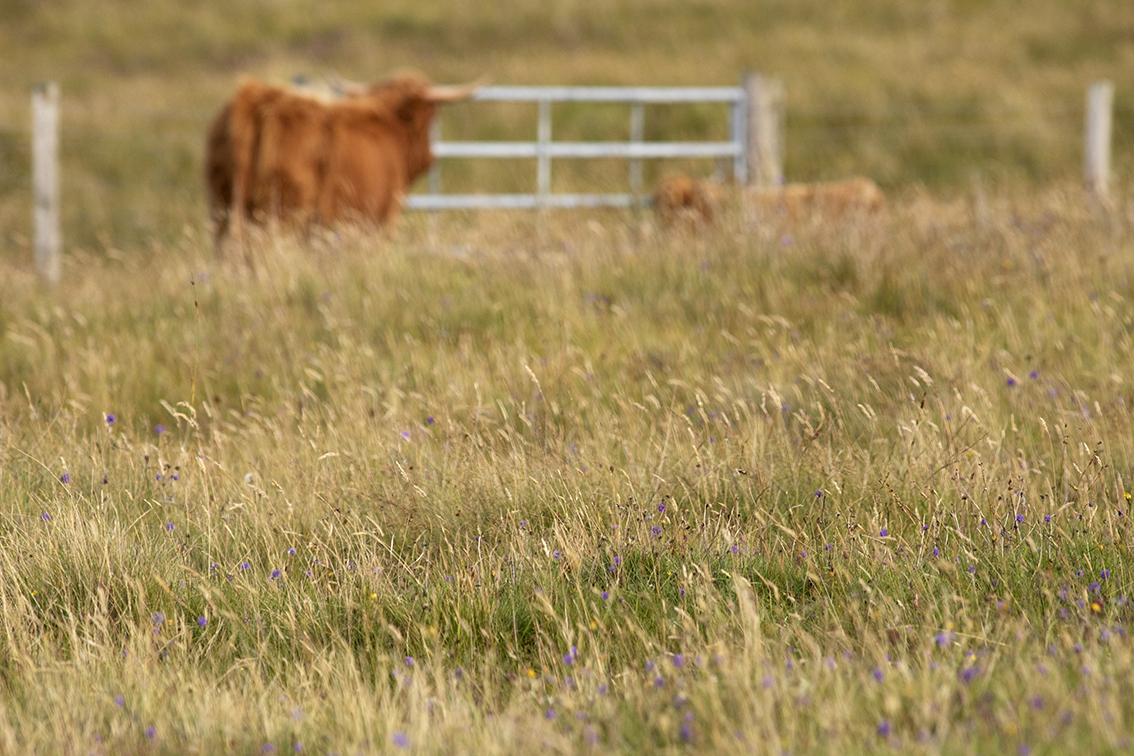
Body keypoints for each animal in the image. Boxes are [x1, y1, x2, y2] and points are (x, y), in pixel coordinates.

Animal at [206, 73, 476, 251]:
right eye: (432, 115)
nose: (430, 157)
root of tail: (255, 96)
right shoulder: (383, 216)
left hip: (222, 206)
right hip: (281, 212)